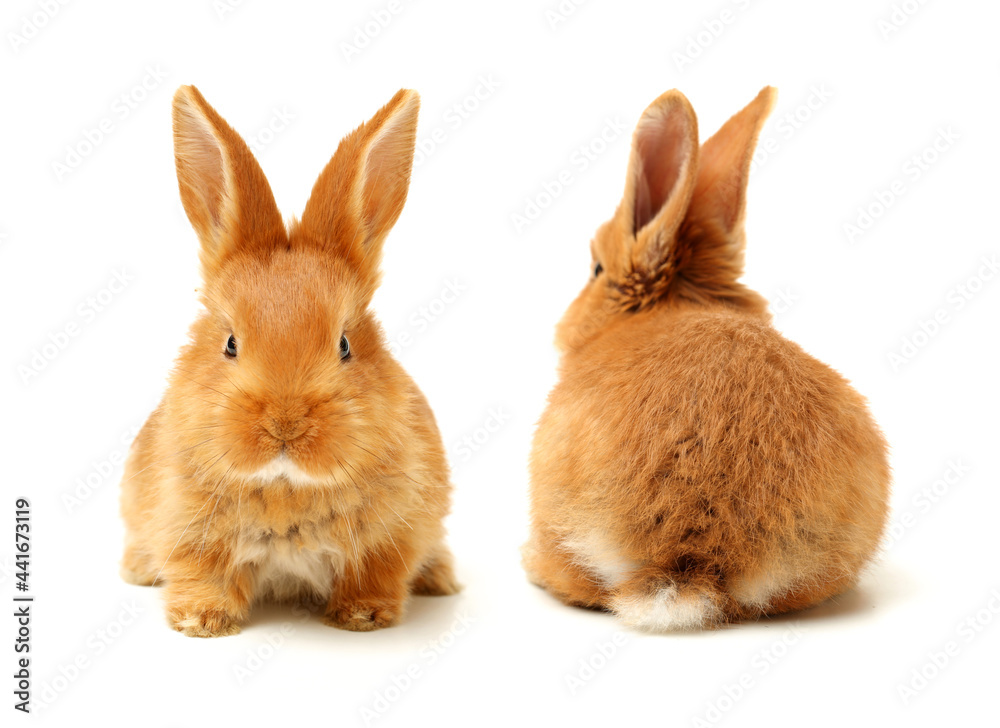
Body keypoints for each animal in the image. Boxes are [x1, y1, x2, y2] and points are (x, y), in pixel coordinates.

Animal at [119, 86, 459, 637]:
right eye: (230, 343)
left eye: (344, 345)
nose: (285, 423)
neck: (285, 487)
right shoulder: (187, 531)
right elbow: (200, 573)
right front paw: (201, 622)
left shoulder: (393, 537)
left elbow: (376, 573)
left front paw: (362, 616)